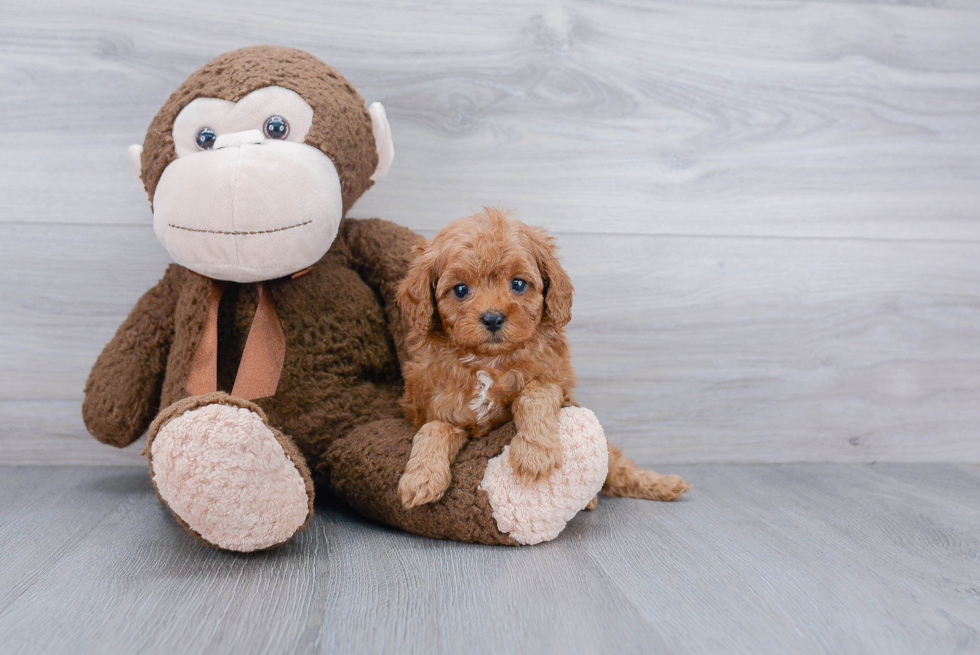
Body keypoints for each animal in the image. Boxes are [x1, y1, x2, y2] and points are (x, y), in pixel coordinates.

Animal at [392, 208, 688, 510]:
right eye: (460, 290)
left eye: (518, 284)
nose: (493, 318)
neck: (489, 361)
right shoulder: (442, 410)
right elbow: (433, 430)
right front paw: (421, 477)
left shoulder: (555, 381)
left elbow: (534, 394)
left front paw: (534, 454)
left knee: (617, 465)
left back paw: (662, 484)